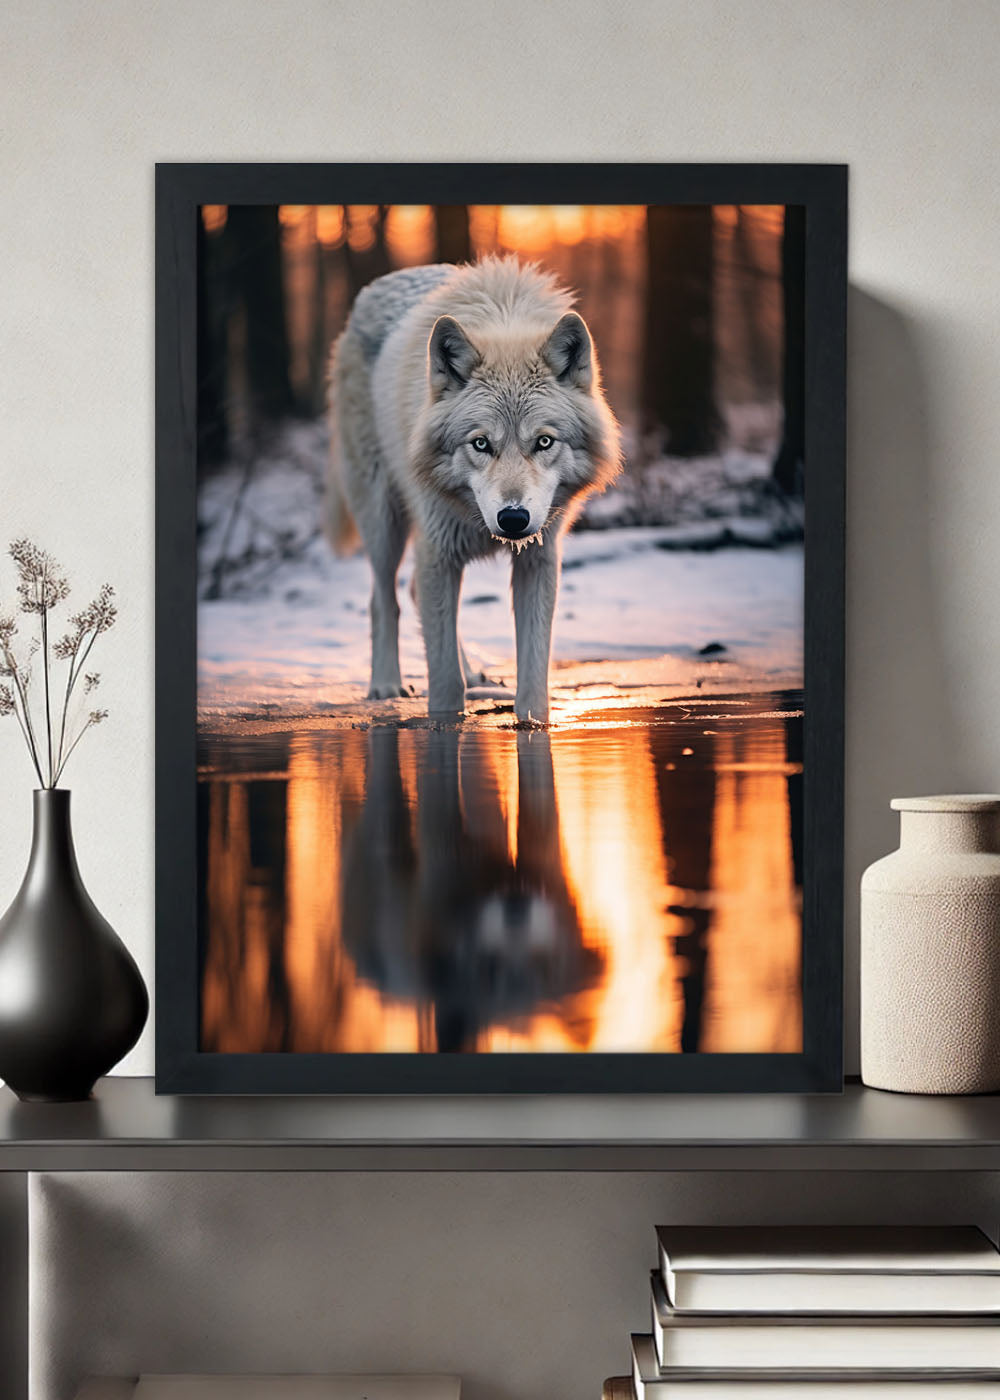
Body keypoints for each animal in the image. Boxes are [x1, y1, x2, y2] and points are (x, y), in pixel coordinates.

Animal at [326, 256, 621, 722]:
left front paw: (532, 723)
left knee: (413, 594)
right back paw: (386, 684)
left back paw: (473, 672)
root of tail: (370, 291)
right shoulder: (439, 549)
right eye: (481, 443)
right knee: (383, 597)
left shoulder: (539, 557)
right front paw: (445, 723)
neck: (505, 321)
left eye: (544, 442)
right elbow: (444, 682)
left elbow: (533, 671)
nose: (513, 518)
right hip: (383, 518)